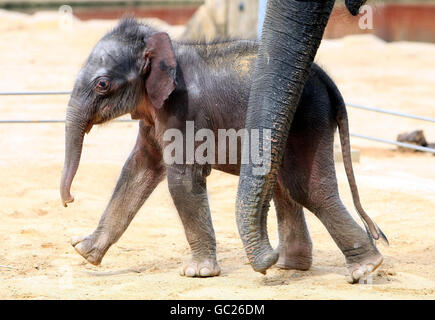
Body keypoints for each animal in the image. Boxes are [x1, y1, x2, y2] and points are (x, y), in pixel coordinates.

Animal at [58, 18, 388, 282]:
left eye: (102, 84)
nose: (69, 201)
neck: (167, 47)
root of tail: (326, 78)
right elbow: (138, 170)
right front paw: (83, 251)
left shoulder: (184, 110)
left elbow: (181, 179)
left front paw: (197, 273)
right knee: (284, 187)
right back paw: (291, 267)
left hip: (307, 119)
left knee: (305, 188)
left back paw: (365, 268)